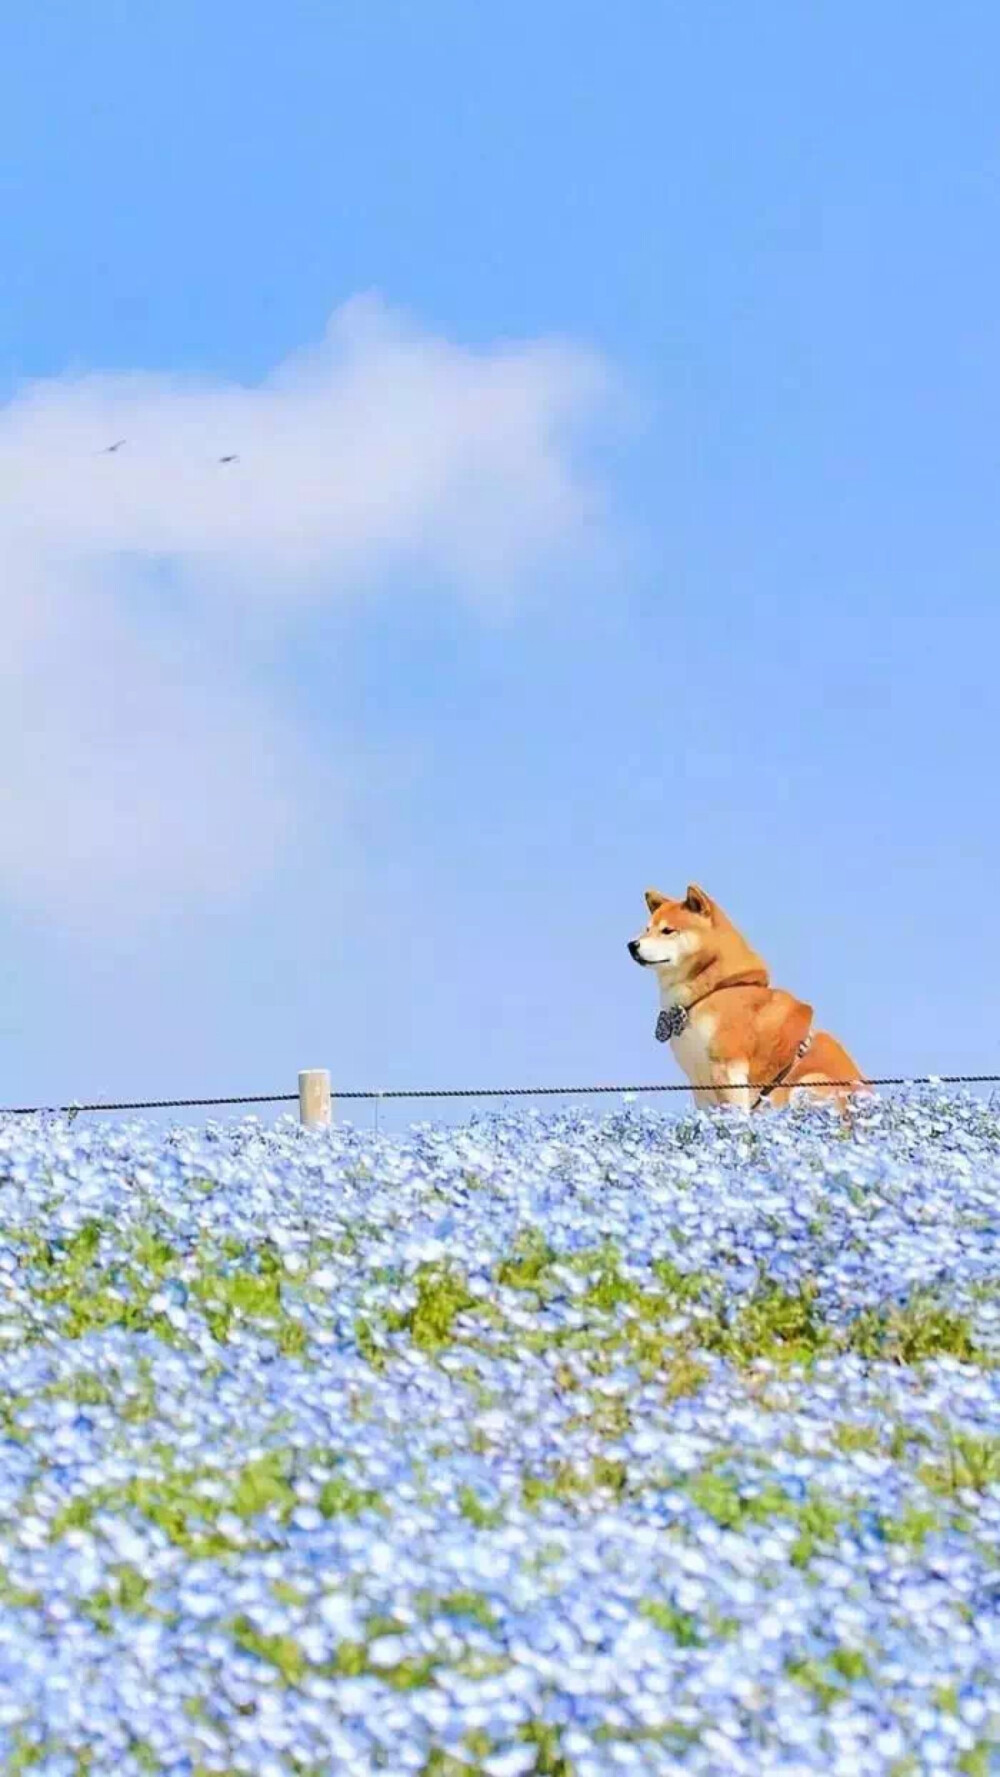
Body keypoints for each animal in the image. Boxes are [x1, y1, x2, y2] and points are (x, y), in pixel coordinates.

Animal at [628, 884, 863, 1108]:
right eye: (647, 930)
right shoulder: (699, 1085)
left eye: (667, 930)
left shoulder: (728, 1069)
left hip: (808, 1083)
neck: (713, 990)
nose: (632, 945)